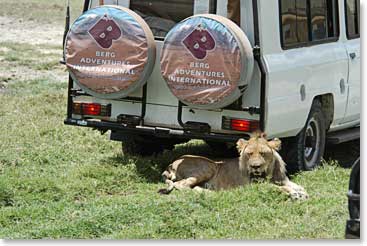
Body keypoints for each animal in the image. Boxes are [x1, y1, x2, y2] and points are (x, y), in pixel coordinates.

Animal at [158, 133, 308, 200]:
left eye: (262, 153)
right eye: (249, 154)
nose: (255, 166)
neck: (269, 172)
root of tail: (172, 163)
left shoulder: (283, 180)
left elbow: (298, 186)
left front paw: (301, 193)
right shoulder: (254, 185)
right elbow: (277, 187)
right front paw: (294, 194)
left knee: (191, 186)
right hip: (209, 166)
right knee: (181, 185)